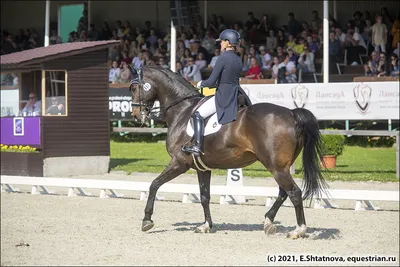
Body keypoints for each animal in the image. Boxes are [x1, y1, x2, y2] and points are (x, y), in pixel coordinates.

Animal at [129, 66, 328, 240]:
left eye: (134, 87)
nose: (136, 114)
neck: (182, 110)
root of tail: (292, 114)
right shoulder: (202, 168)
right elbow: (204, 196)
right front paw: (205, 226)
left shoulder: (179, 163)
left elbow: (154, 184)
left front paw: (147, 221)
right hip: (281, 167)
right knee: (283, 193)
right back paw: (268, 222)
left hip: (276, 167)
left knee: (294, 192)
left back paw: (298, 230)